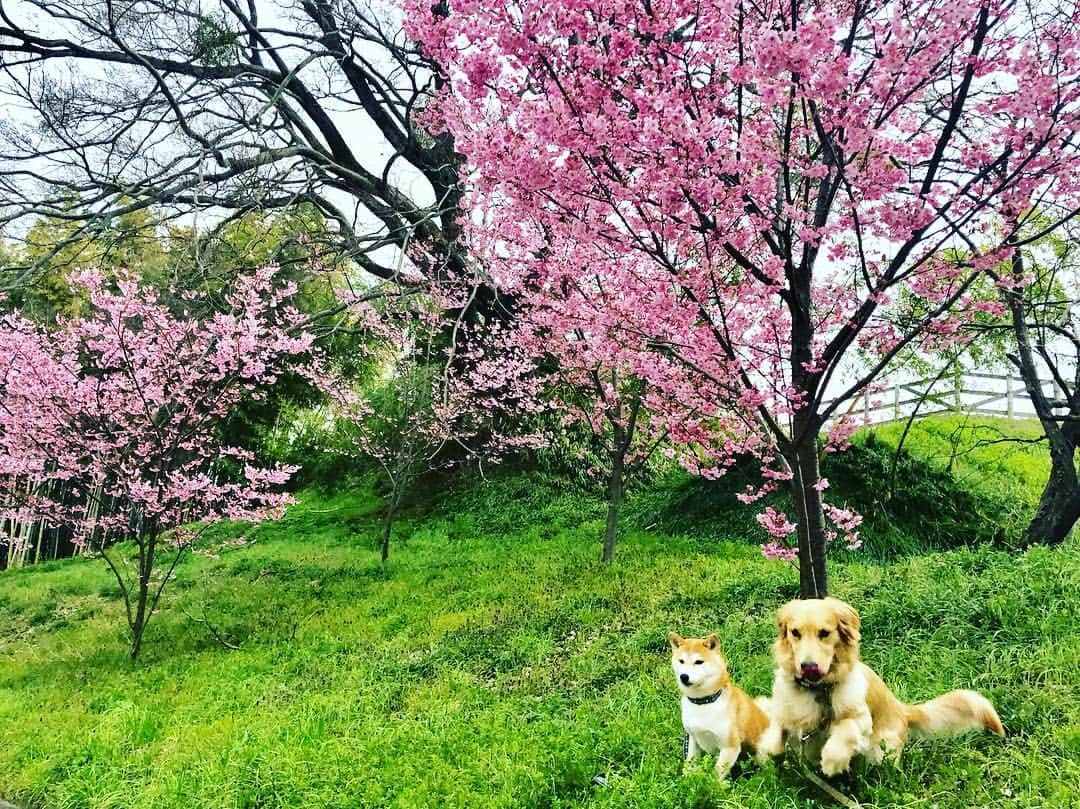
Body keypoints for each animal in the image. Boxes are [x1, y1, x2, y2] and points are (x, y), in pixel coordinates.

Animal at [665, 630, 777, 777]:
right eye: (681, 661)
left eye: (699, 662)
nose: (683, 676)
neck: (703, 702)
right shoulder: (692, 739)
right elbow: (689, 765)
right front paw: (687, 781)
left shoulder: (730, 746)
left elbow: (716, 774)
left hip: (760, 753)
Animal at [760, 591, 1002, 777]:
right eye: (795, 633)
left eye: (824, 633)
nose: (808, 666)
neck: (817, 689)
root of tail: (903, 711)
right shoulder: (783, 710)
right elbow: (775, 728)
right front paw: (768, 752)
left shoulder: (860, 717)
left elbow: (845, 731)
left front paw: (832, 761)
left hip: (880, 748)